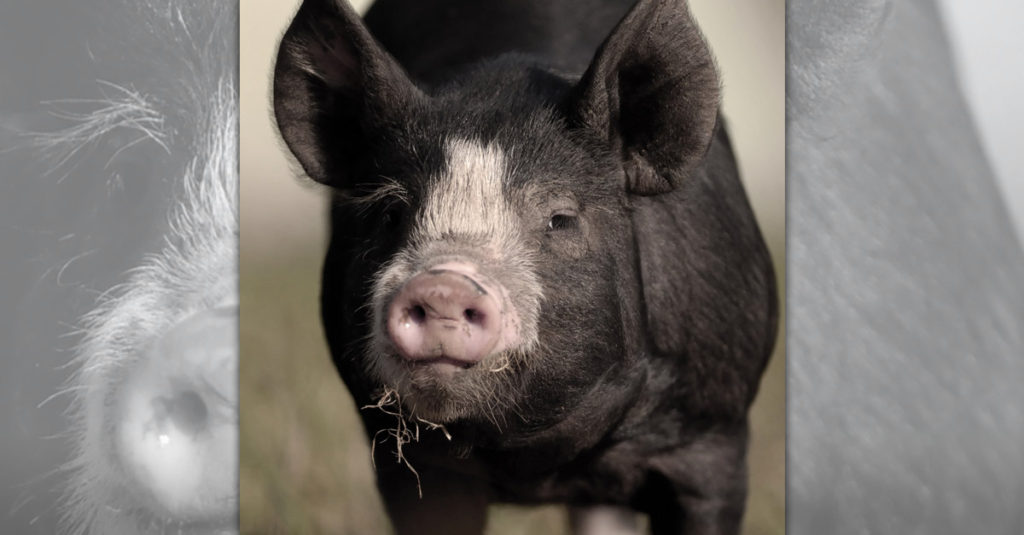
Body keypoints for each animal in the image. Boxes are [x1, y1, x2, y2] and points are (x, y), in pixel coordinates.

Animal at [272, 0, 777, 533]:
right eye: (392, 213)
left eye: (561, 219)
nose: (444, 285)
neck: (534, 461)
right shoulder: (408, 464)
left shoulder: (713, 438)